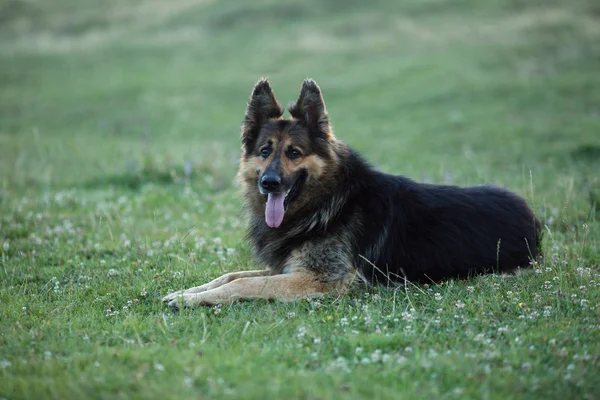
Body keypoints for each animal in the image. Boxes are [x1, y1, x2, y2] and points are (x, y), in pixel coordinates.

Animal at [162, 79, 540, 310]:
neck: (327, 202)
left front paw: (191, 299)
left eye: (294, 153)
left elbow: (245, 285)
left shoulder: (322, 280)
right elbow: (232, 275)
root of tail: (531, 216)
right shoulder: (288, 267)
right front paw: (186, 292)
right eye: (265, 151)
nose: (269, 183)